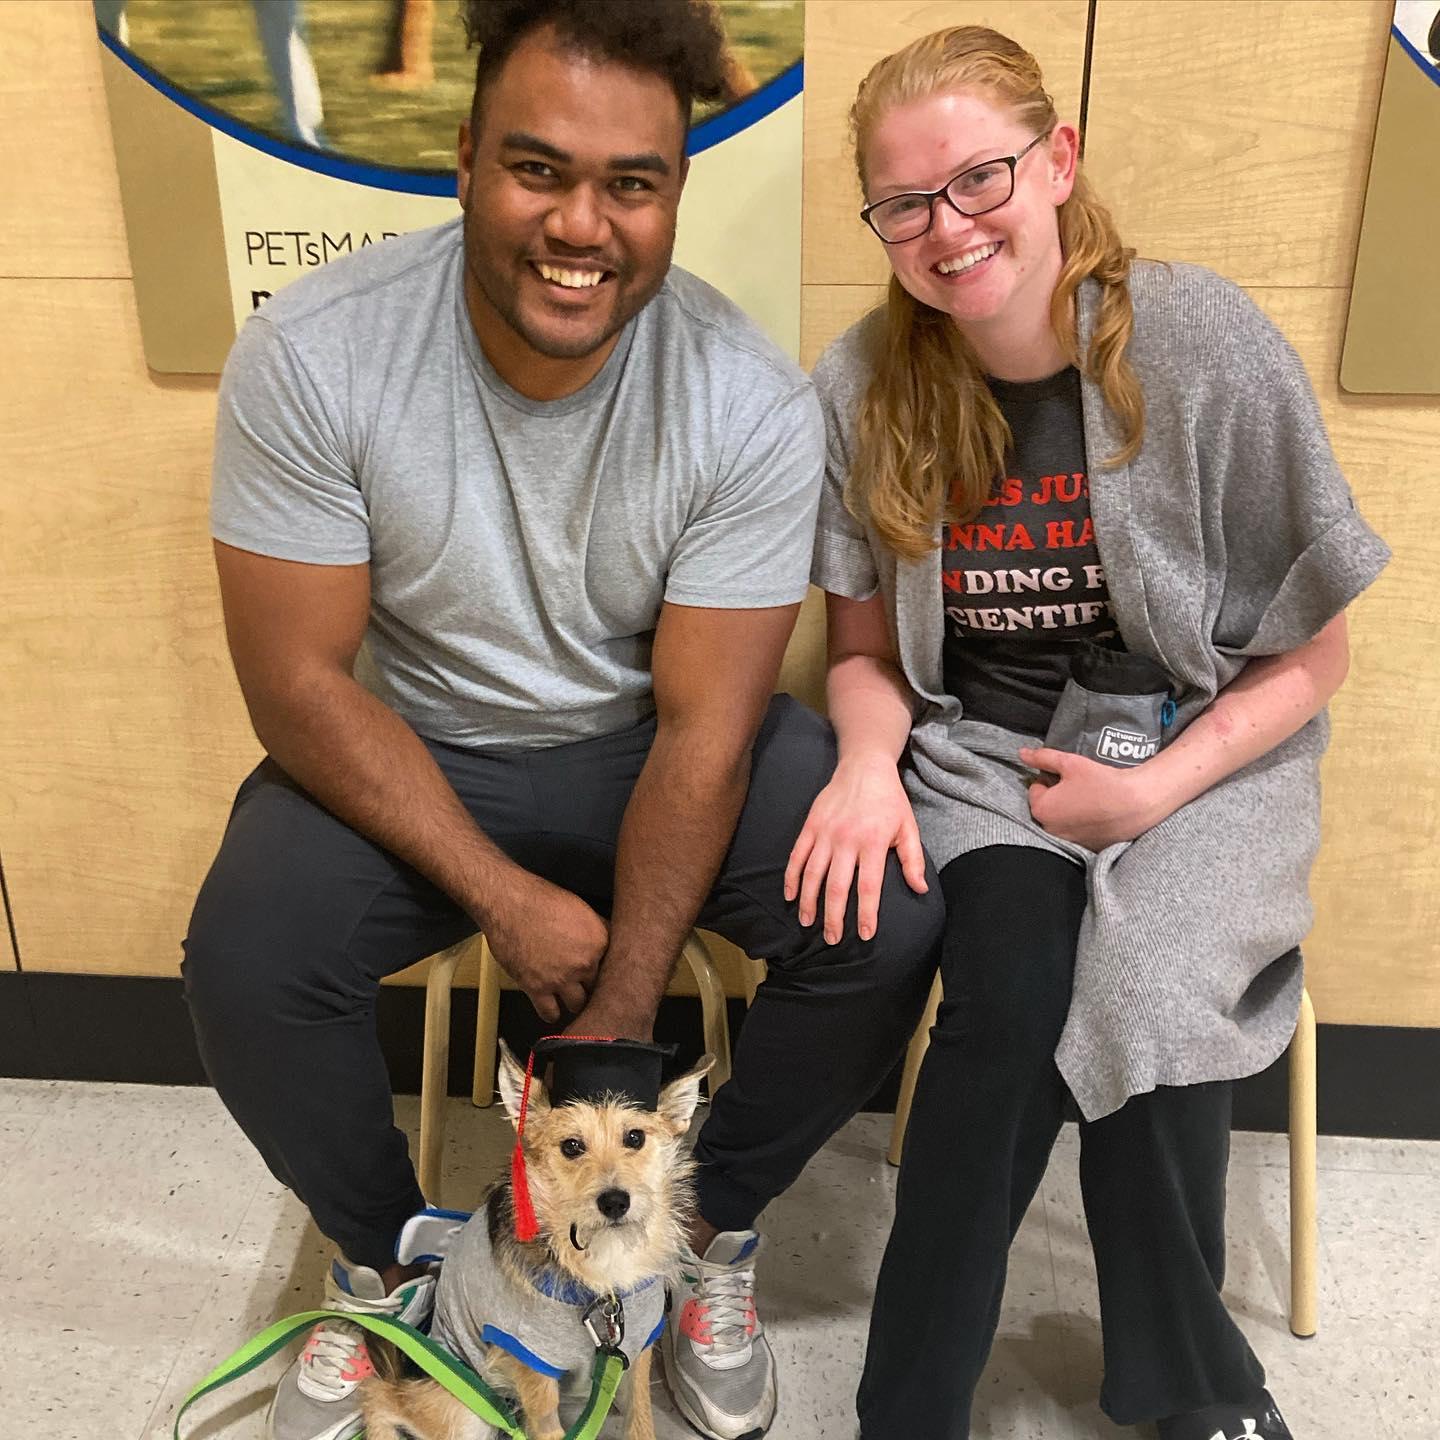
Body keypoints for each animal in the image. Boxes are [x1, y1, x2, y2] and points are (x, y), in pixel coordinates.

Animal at [362, 1048, 711, 1440]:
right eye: (572, 1146)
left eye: (635, 1138)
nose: (615, 1202)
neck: (602, 1261)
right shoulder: (534, 1371)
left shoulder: (636, 1353)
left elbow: (641, 1421)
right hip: (466, 1409)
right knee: (381, 1393)